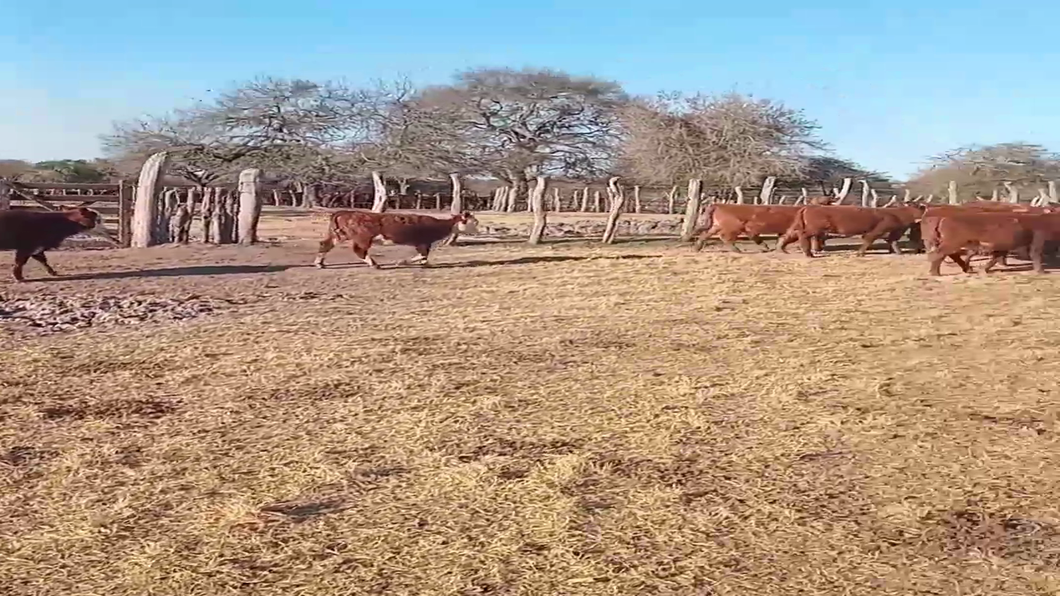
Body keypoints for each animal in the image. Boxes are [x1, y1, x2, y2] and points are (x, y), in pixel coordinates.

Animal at [313, 206, 481, 267]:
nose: (480, 230)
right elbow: (423, 255)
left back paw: (319, 263)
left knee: (325, 244)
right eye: (475, 222)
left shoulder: (423, 244)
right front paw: (401, 262)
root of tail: (344, 212)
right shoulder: (423, 242)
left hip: (339, 234)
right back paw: (374, 264)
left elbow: (424, 258)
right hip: (363, 238)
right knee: (359, 250)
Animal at [775, 203, 924, 255]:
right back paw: (808, 253)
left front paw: (899, 253)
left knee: (788, 235)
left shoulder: (893, 232)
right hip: (814, 229)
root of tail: (808, 207)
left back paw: (783, 250)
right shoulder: (878, 230)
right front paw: (859, 253)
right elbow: (868, 240)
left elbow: (893, 241)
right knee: (803, 235)